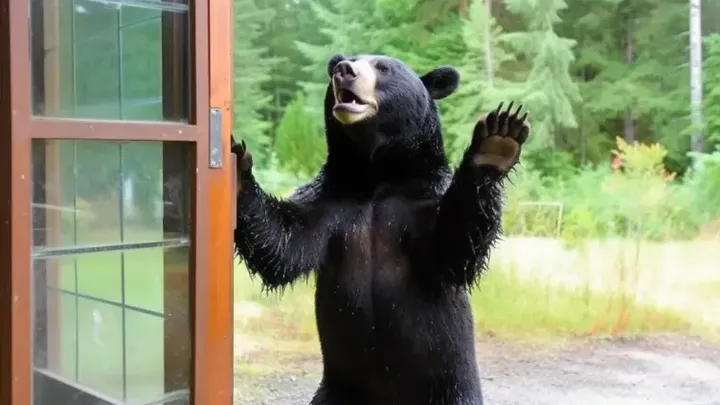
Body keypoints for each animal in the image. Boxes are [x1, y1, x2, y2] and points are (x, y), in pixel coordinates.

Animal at [232, 53, 530, 405]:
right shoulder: (330, 205)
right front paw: (237, 171)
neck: (376, 175)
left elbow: (453, 246)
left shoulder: (421, 202)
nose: (343, 70)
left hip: (449, 386)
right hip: (340, 388)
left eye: (383, 68)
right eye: (345, 61)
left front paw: (496, 142)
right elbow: (284, 243)